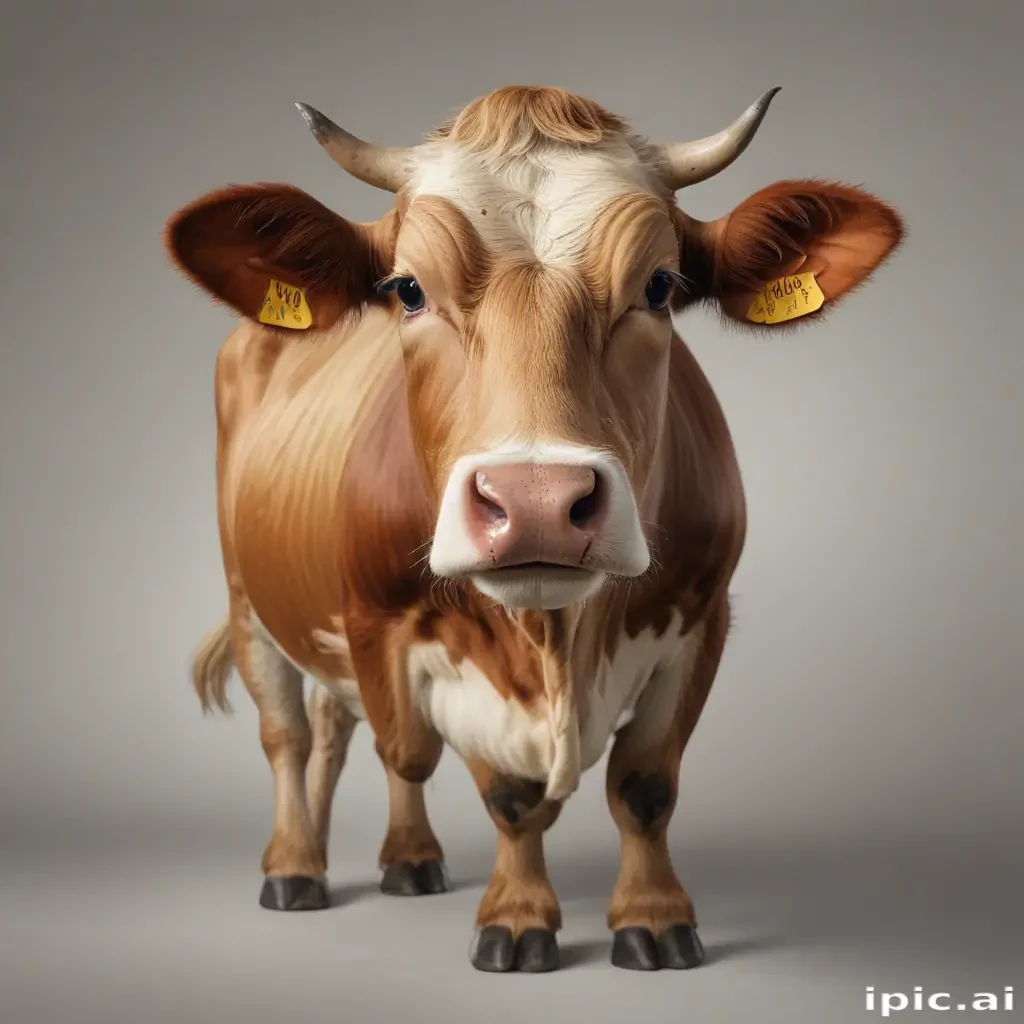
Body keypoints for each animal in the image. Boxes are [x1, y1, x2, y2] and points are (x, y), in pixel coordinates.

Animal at [165, 84, 904, 973]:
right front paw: (518, 920)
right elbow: (507, 795)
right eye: (406, 290)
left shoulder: (702, 615)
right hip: (254, 601)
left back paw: (409, 859)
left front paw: (653, 919)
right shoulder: (403, 631)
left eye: (660, 286)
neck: (559, 644)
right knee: (295, 736)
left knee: (349, 734)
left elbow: (644, 785)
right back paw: (295, 867)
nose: (539, 500)